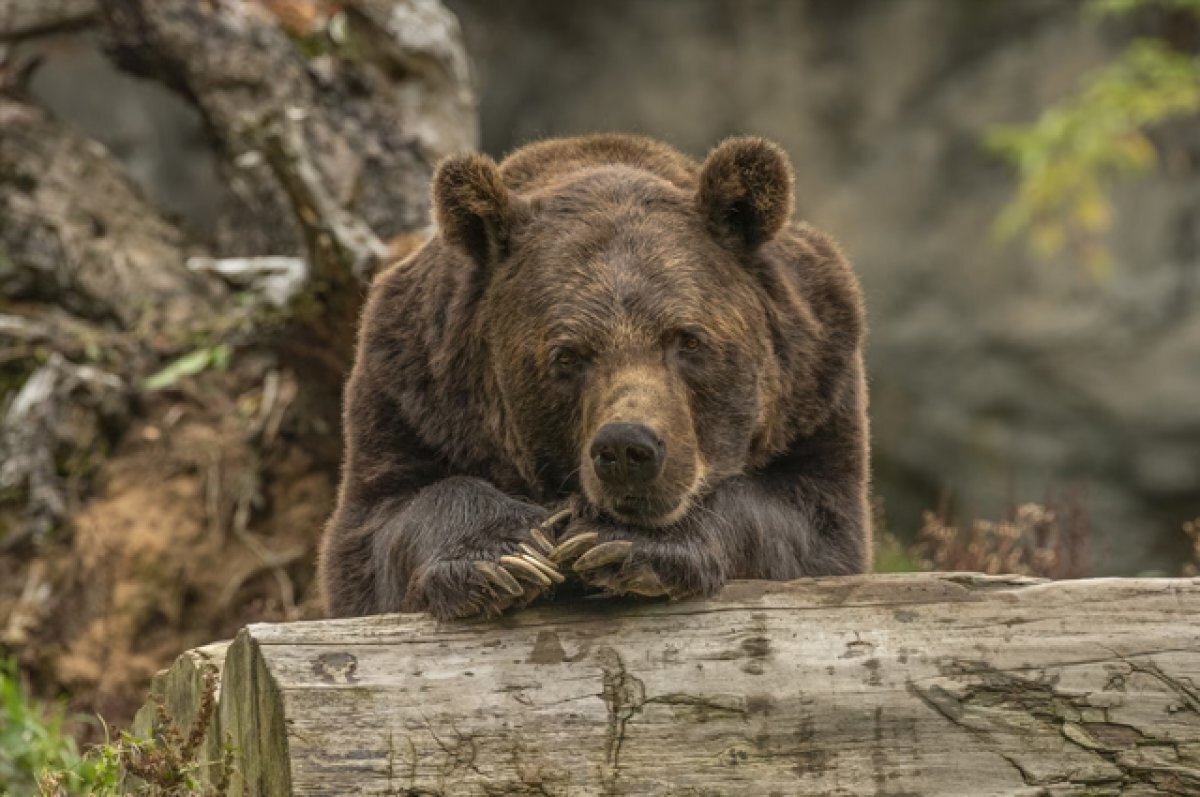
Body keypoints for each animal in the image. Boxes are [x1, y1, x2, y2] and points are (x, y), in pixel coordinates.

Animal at [319, 133, 868, 619]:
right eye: (567, 355)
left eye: (688, 339)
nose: (627, 448)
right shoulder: (411, 392)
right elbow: (380, 527)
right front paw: (507, 556)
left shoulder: (817, 385)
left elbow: (809, 524)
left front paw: (620, 542)